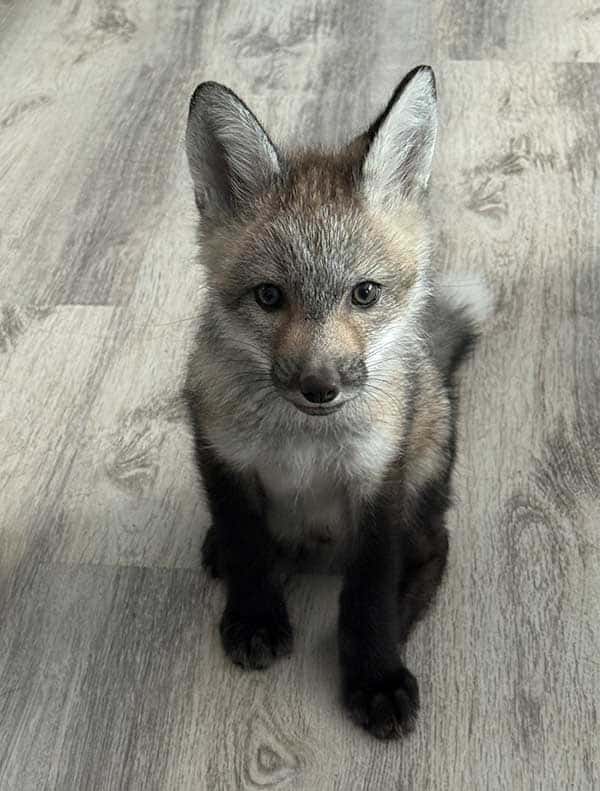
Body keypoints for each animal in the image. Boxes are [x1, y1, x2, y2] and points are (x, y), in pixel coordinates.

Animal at [183, 65, 490, 740]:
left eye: (364, 294)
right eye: (269, 296)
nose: (319, 386)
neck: (304, 447)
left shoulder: (377, 481)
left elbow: (369, 594)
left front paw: (374, 674)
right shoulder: (223, 456)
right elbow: (247, 546)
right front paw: (254, 616)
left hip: (421, 479)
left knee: (432, 551)